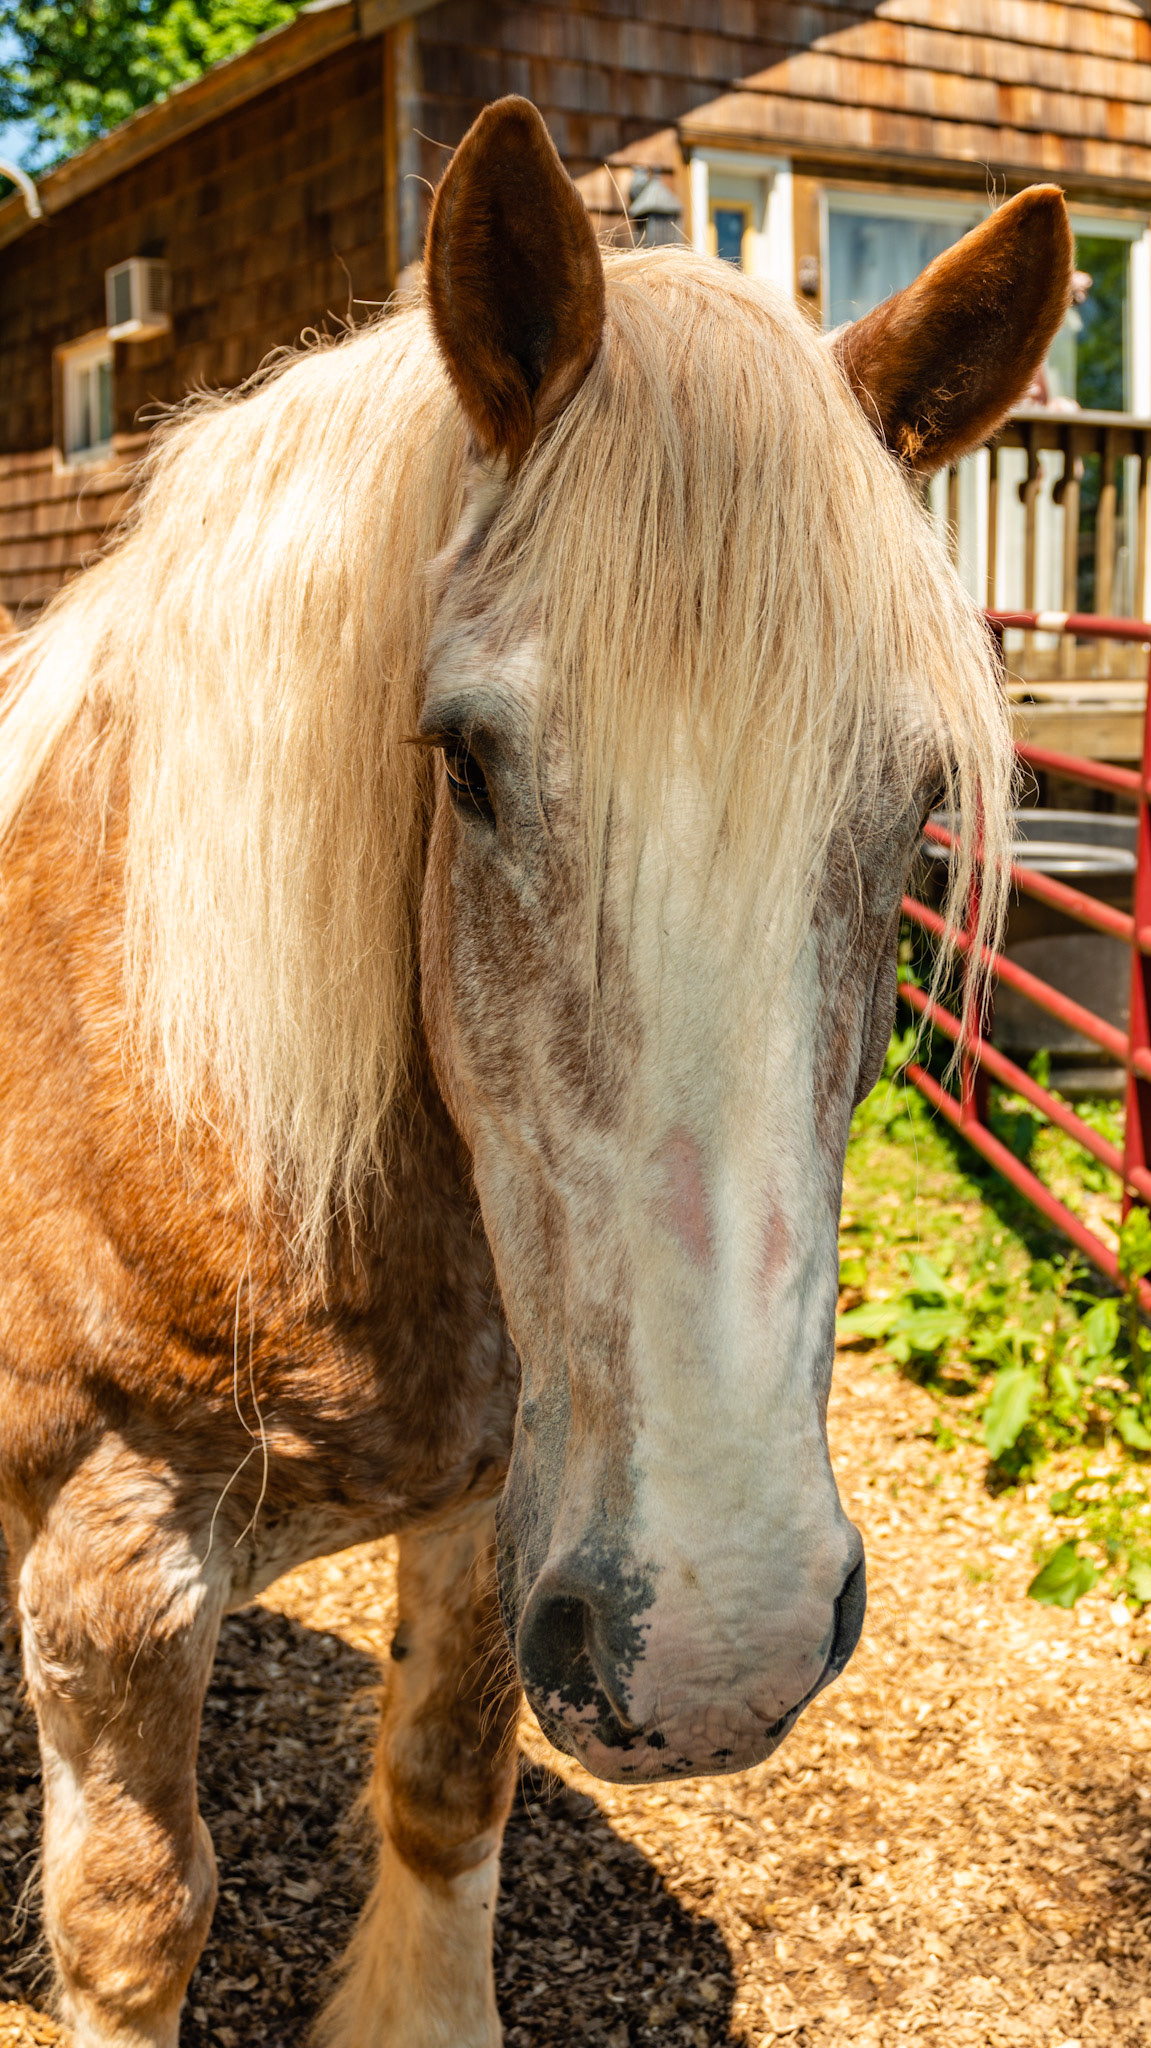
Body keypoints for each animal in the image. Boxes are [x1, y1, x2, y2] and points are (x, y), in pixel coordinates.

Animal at [0, 97, 1069, 2048]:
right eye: (467, 763)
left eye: (917, 808)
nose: (724, 1640)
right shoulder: (107, 1572)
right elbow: (134, 1919)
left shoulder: (512, 1504)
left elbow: (446, 1785)